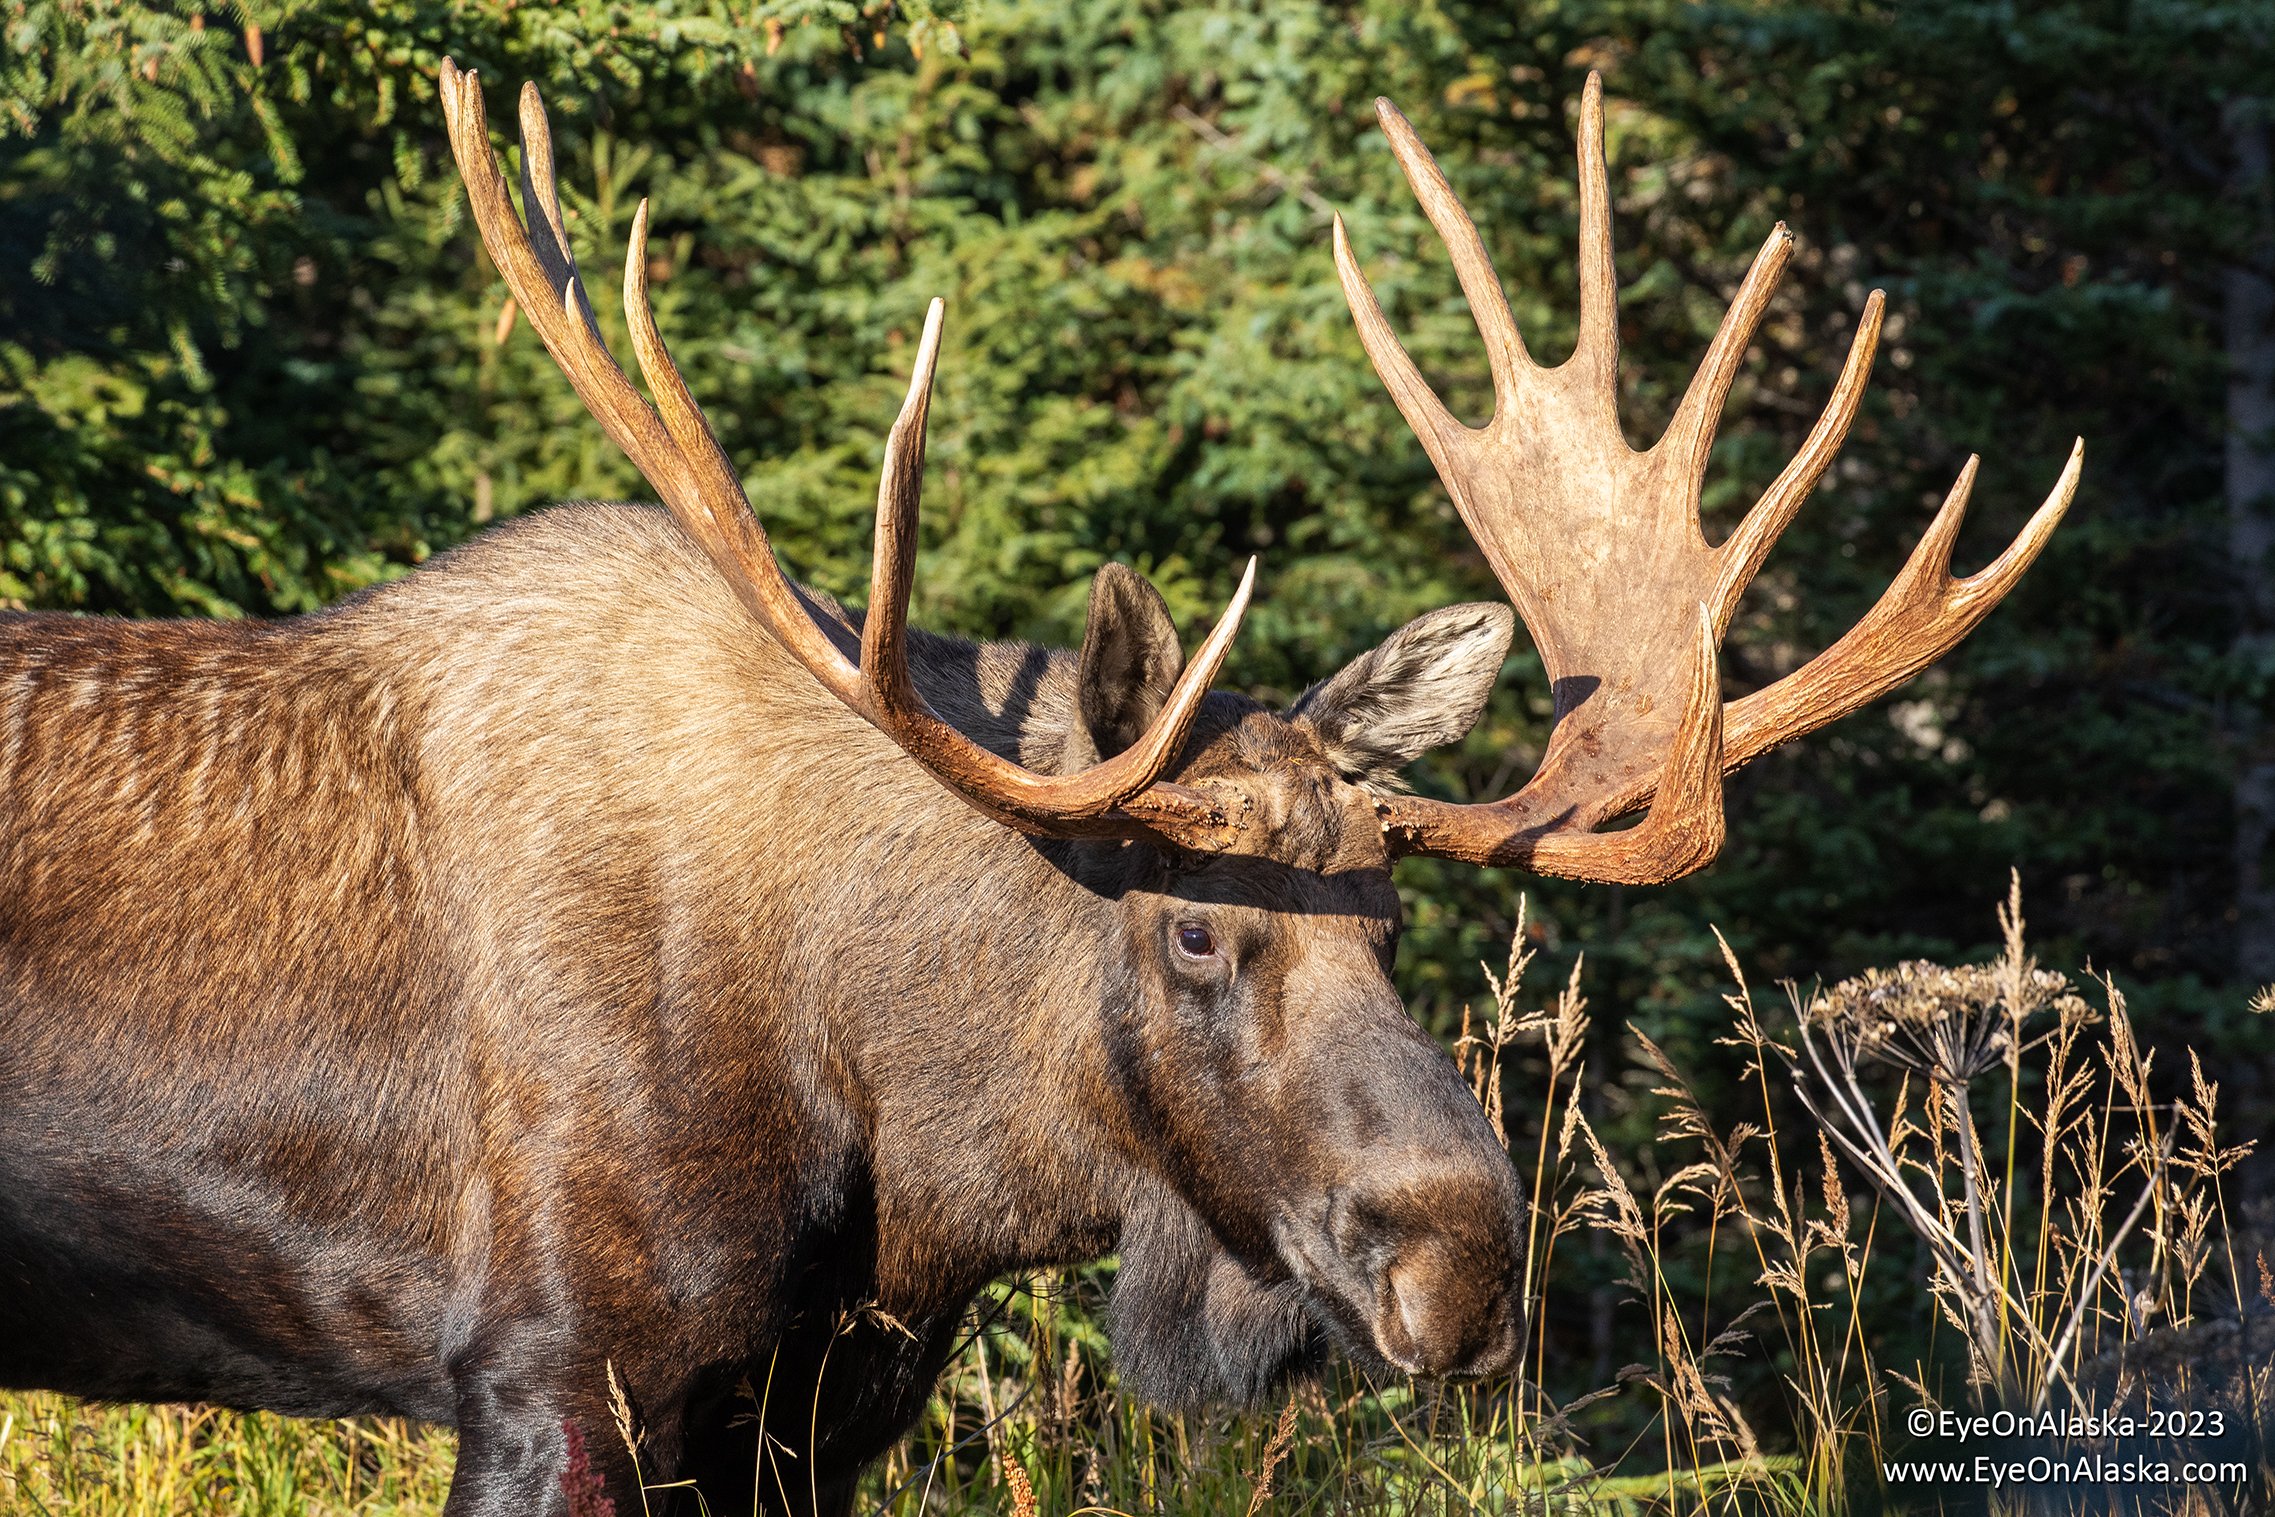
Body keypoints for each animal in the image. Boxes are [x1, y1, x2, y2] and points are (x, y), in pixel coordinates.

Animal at [0, 62, 2079, 1517]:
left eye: (1400, 921)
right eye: (1191, 931)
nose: (1465, 1258)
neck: (909, 1150)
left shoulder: (811, 1408)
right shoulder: (550, 1366)